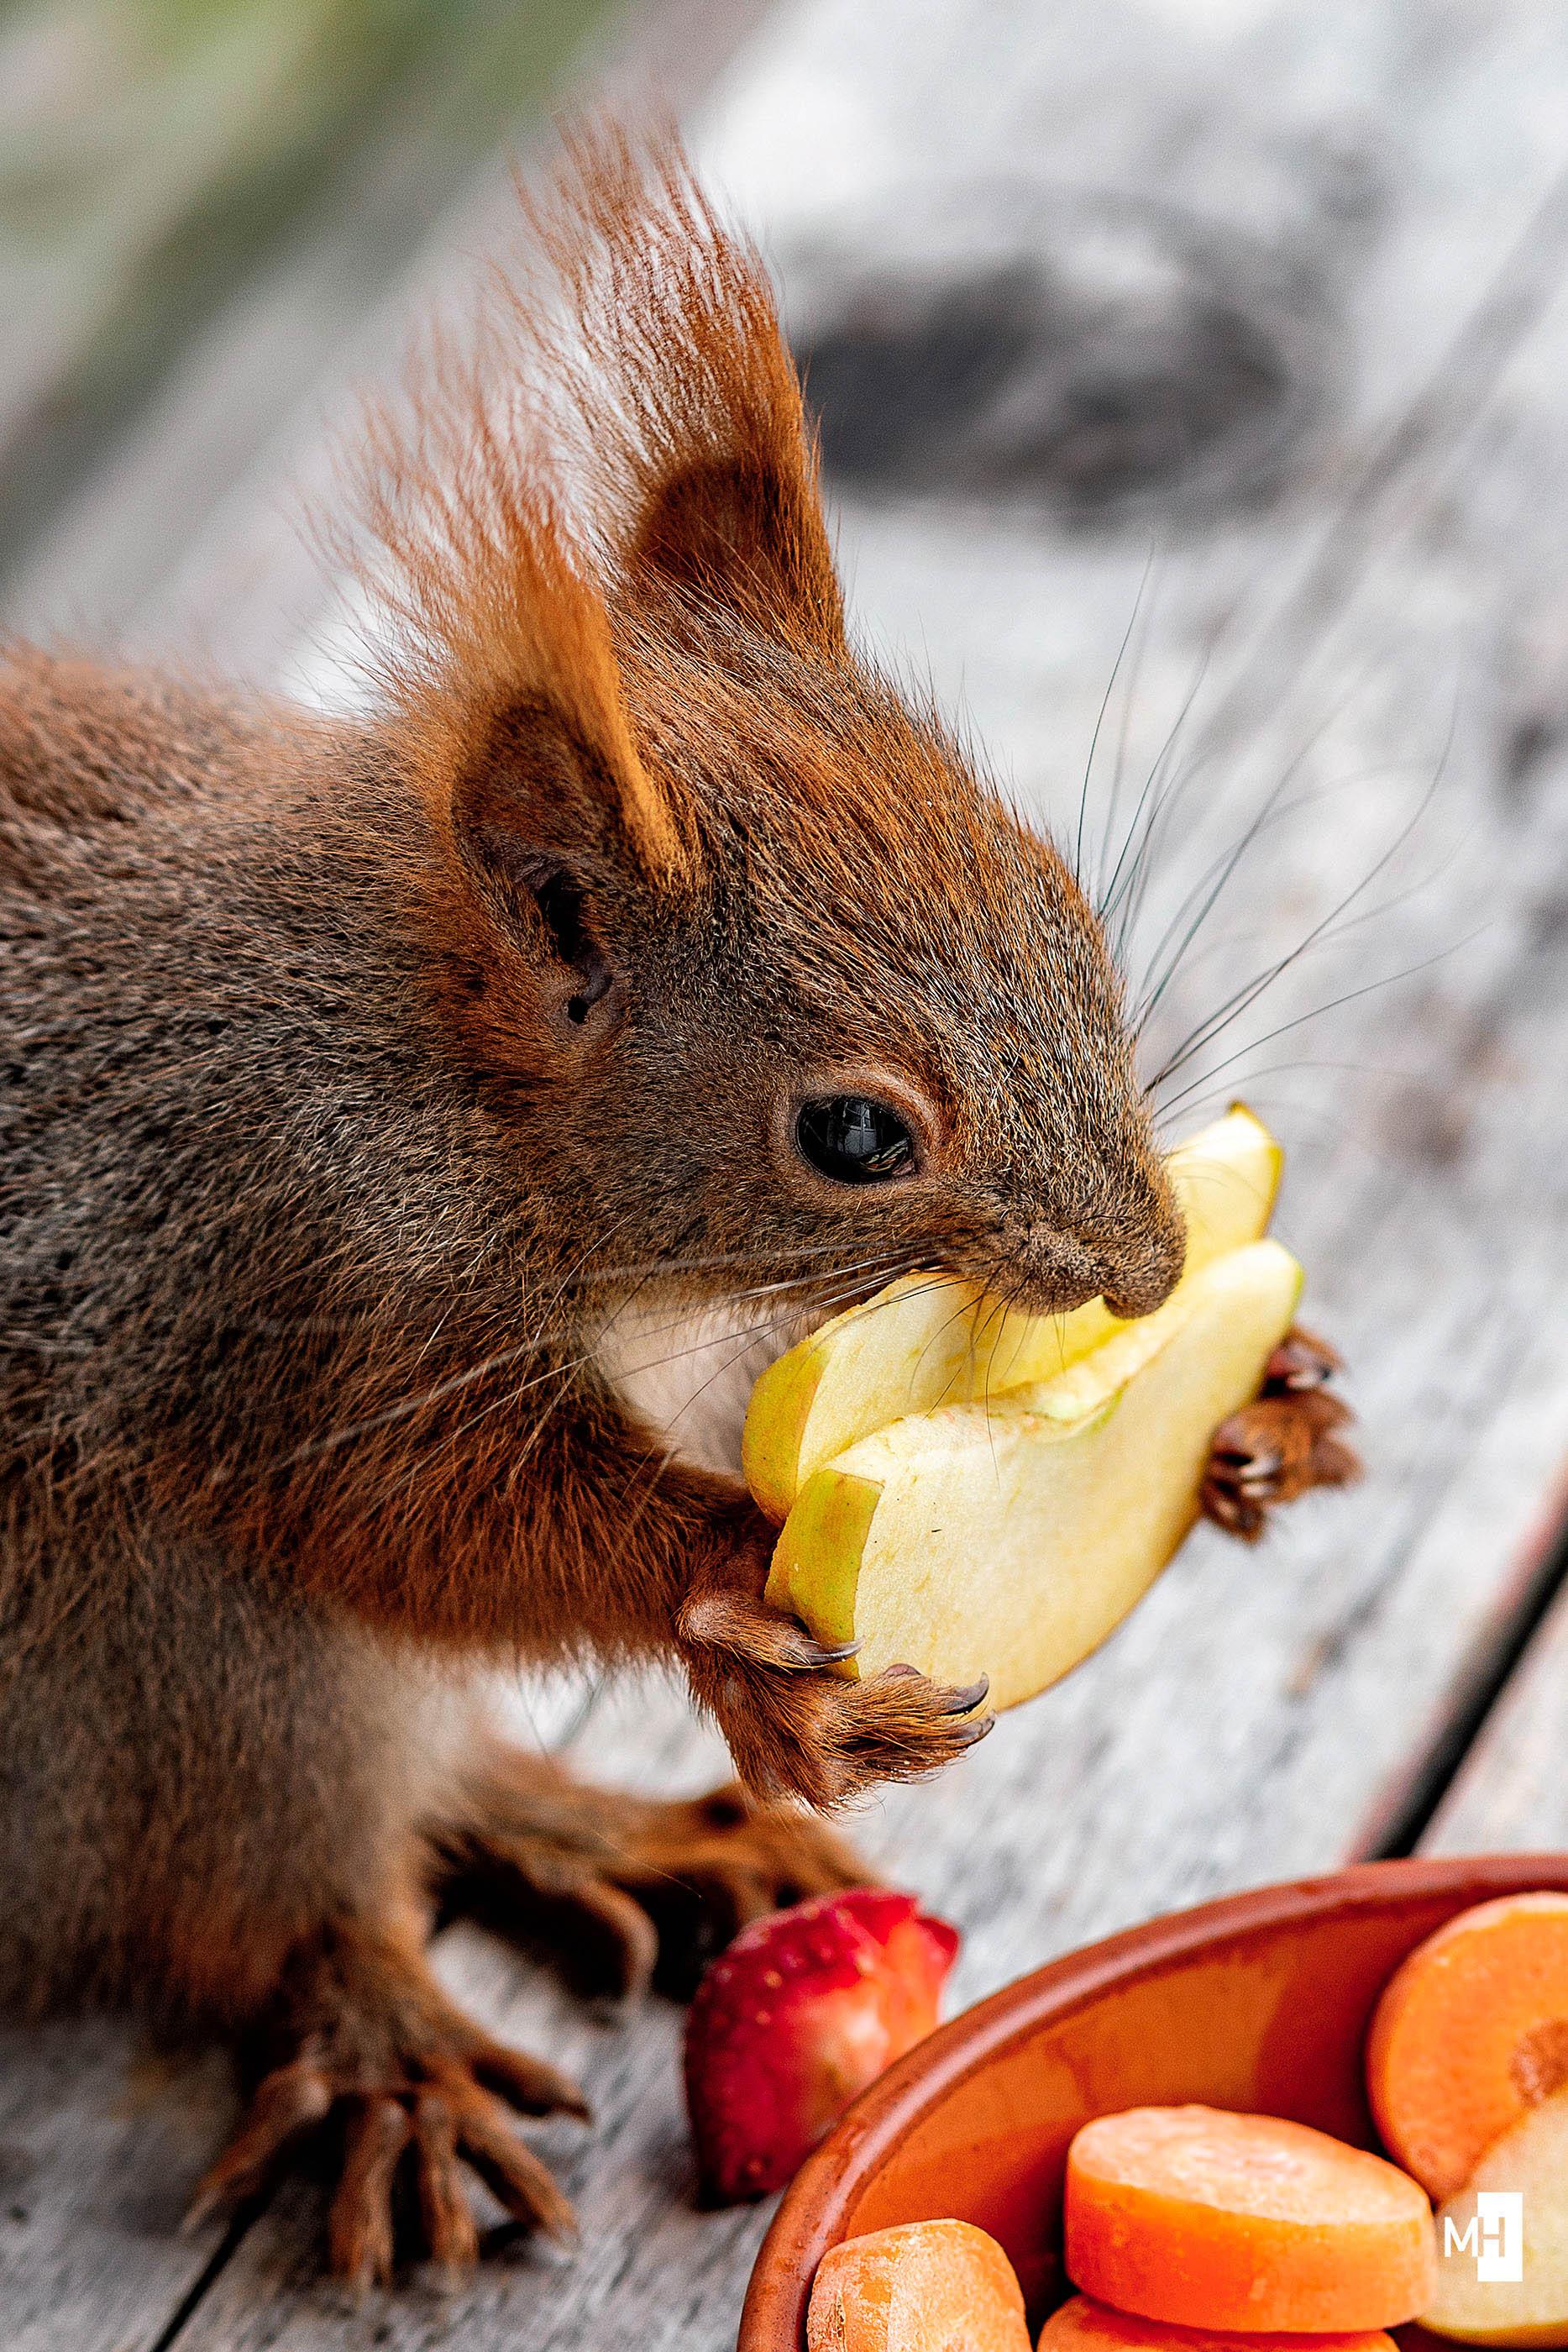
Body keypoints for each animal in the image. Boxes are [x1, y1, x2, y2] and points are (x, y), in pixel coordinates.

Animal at [0, 132, 1355, 2283]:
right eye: (856, 1135)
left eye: (1060, 898)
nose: (1149, 1271)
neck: (447, 1081)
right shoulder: (272, 1266)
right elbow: (424, 1522)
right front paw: (725, 1591)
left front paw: (1265, 1408)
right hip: (154, 1655)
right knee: (287, 1879)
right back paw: (395, 2029)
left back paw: (609, 1826)